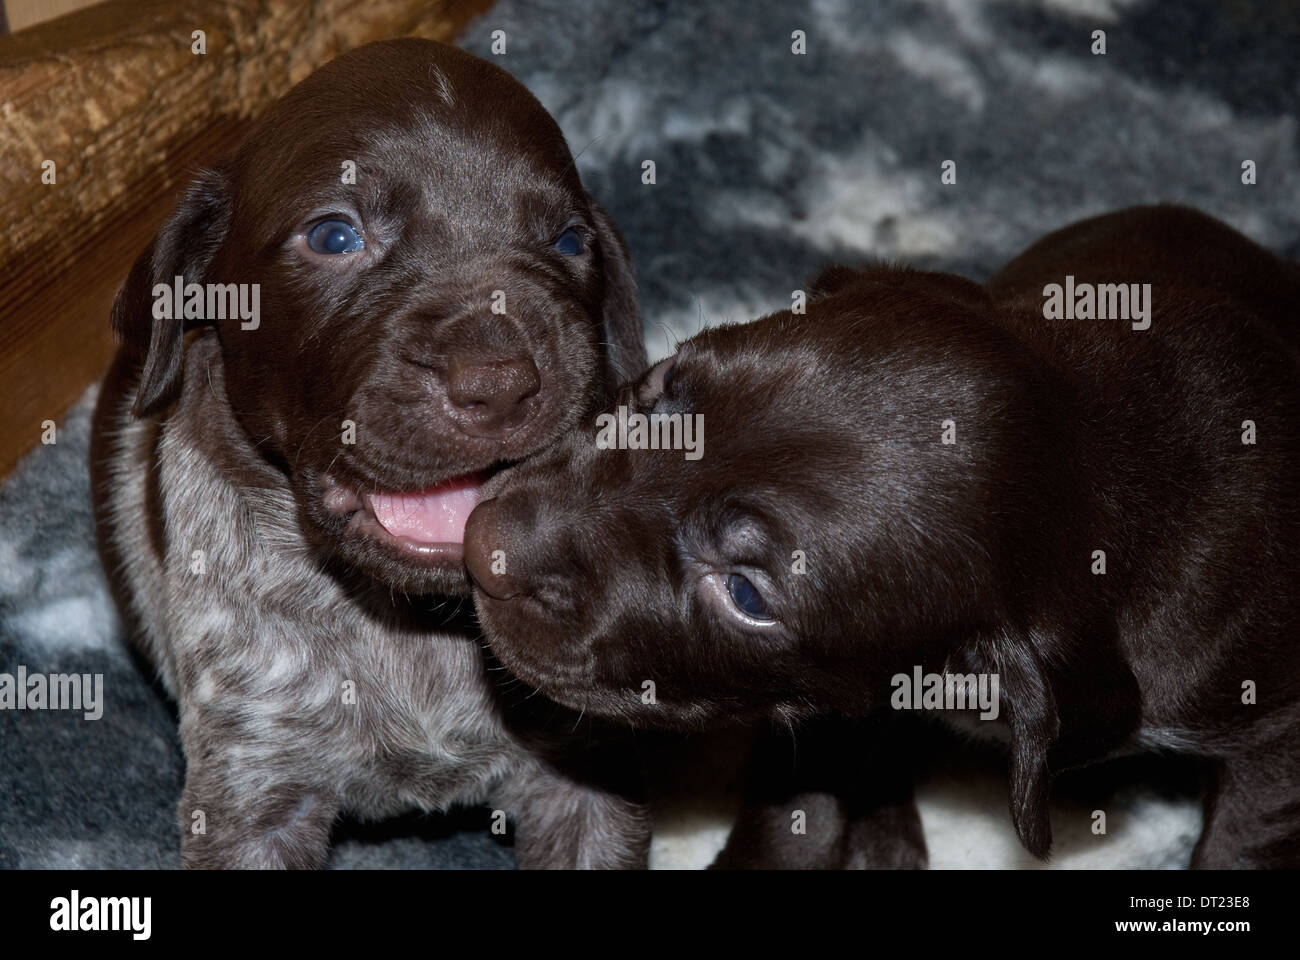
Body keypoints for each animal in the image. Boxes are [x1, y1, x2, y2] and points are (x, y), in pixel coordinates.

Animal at [467, 205, 1300, 863]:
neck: (1111, 453)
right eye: (665, 388)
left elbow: (1243, 841)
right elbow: (802, 796)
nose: (481, 542)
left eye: (746, 595)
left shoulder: (1274, 742)